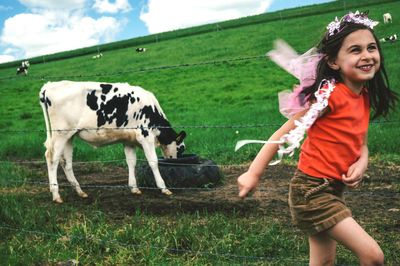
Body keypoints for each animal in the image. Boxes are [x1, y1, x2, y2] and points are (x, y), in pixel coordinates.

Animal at [39, 80, 186, 203]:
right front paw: (164, 188)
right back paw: (56, 194)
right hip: (60, 134)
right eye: (181, 148)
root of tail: (49, 85)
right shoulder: (146, 136)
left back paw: (80, 191)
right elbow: (153, 162)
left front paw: (134, 188)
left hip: (69, 136)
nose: (177, 162)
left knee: (66, 162)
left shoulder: (129, 140)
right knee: (52, 158)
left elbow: (131, 162)